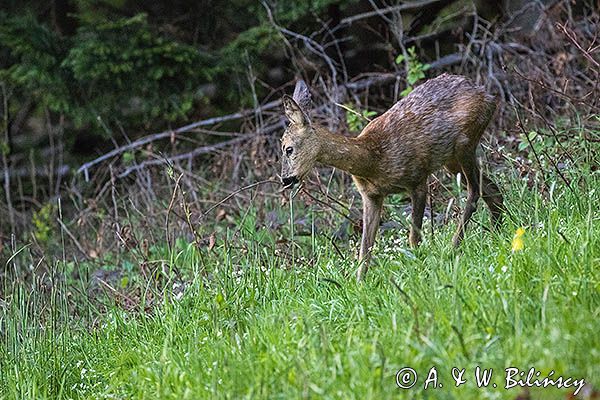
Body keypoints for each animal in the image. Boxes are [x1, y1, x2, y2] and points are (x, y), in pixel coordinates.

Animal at [278, 75, 504, 282]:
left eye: (288, 149)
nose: (285, 179)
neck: (373, 159)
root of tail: (488, 95)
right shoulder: (371, 196)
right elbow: (365, 250)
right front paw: (359, 285)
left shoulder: (417, 179)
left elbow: (413, 237)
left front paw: (420, 267)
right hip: (452, 160)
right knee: (492, 189)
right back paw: (496, 234)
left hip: (464, 142)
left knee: (474, 192)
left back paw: (453, 247)